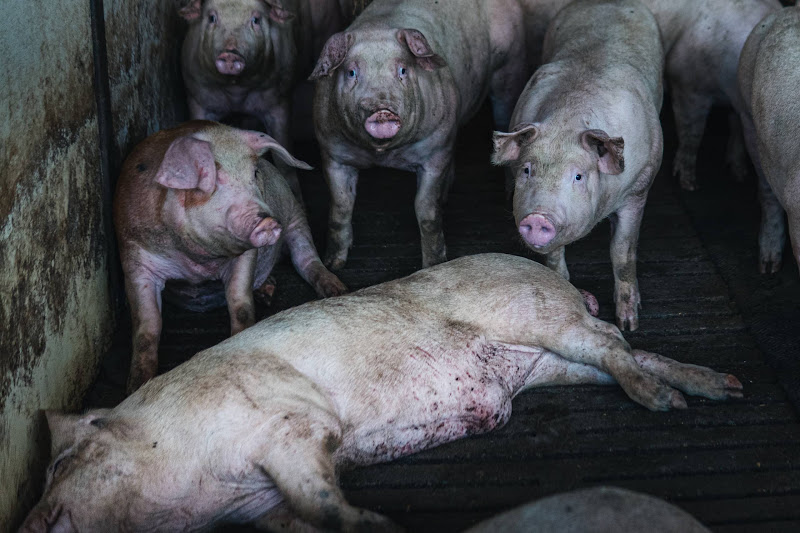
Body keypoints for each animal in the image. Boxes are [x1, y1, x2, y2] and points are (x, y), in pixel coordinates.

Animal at [20, 254, 742, 532]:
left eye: (61, 462)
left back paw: (668, 402)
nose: (28, 520)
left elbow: (323, 495)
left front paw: (379, 524)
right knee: (622, 352)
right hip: (549, 362)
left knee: (614, 341)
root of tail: (550, 274)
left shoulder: (291, 423)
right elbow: (303, 513)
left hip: (540, 316)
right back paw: (719, 388)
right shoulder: (258, 504)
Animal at [113, 120, 346, 394]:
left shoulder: (246, 256)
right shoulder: (135, 260)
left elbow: (239, 302)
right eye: (214, 182)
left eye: (254, 174)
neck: (196, 262)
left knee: (305, 258)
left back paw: (336, 290)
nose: (267, 221)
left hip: (296, 216)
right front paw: (136, 387)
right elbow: (148, 325)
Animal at [179, 0, 356, 201]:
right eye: (211, 18)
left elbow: (283, 159)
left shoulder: (278, 102)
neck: (236, 89)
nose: (230, 53)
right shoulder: (197, 97)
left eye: (255, 20)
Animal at [310, 0, 530, 269]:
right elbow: (340, 206)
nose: (381, 110)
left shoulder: (434, 150)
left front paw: (433, 264)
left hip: (510, 67)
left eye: (403, 70)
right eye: (351, 73)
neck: (382, 154)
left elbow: (425, 209)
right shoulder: (332, 153)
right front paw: (333, 264)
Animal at [492, 0, 664, 331]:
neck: (568, 121)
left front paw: (629, 324)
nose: (538, 217)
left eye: (578, 176)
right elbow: (554, 258)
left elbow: (622, 251)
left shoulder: (639, 188)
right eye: (526, 170)